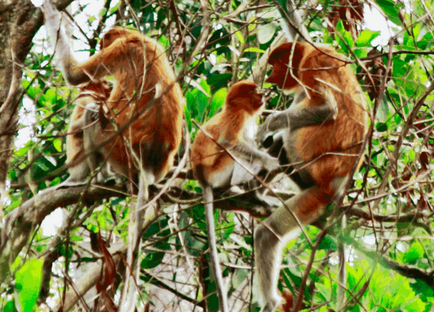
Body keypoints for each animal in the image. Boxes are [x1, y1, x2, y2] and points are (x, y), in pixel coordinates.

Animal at [44, 1, 185, 310]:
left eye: (103, 42)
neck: (137, 37)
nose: (99, 42)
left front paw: (50, 11)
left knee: (90, 112)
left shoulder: (121, 50)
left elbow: (75, 75)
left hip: (115, 146)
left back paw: (80, 179)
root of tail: (149, 164)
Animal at [191, 80, 340, 310]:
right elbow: (229, 143)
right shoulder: (237, 119)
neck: (237, 109)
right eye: (254, 93)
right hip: (219, 170)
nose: (263, 96)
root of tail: (201, 177)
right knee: (236, 151)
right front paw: (269, 161)